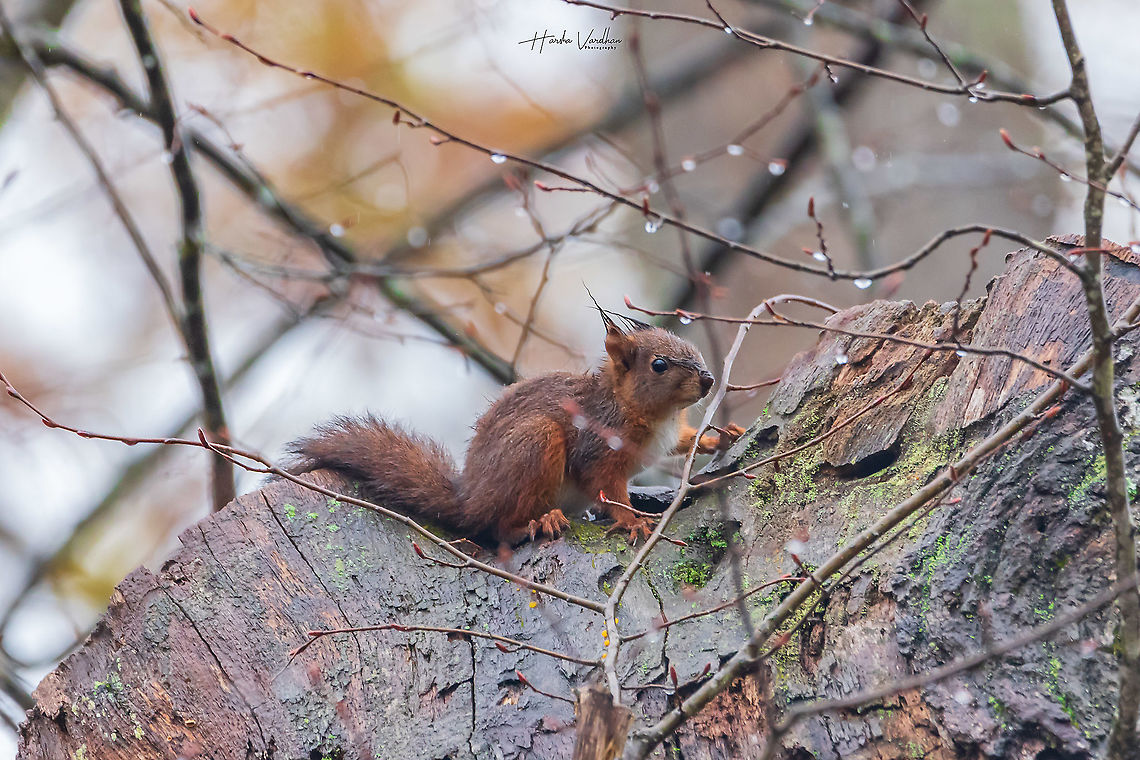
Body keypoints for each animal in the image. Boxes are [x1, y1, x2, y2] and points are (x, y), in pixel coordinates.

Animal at [287, 307, 744, 545]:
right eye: (659, 365)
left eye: (692, 348)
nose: (708, 380)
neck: (648, 412)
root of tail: (471, 500)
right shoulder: (599, 447)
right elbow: (609, 490)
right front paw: (632, 522)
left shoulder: (665, 437)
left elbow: (682, 442)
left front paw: (721, 436)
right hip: (535, 445)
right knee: (500, 528)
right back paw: (540, 523)